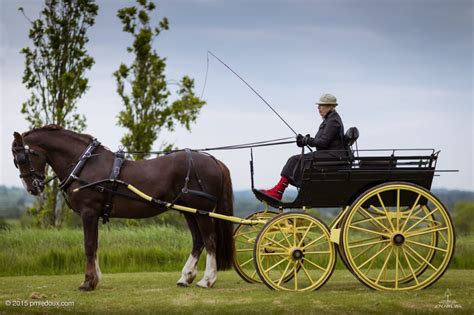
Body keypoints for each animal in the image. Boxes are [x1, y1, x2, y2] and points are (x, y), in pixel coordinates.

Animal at [13, 125, 237, 292]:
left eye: (22, 158)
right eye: (16, 161)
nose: (33, 187)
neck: (83, 165)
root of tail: (213, 160)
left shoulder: (89, 212)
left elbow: (89, 245)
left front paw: (88, 282)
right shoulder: (94, 215)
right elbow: (95, 245)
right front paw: (95, 279)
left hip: (202, 210)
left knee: (210, 240)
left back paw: (207, 280)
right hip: (189, 211)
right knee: (198, 241)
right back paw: (186, 277)